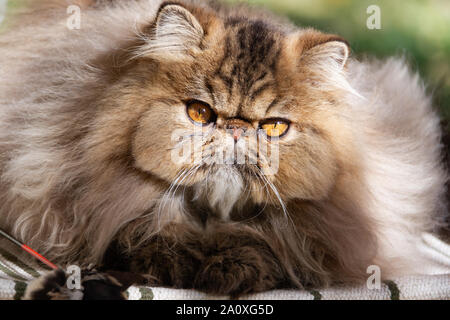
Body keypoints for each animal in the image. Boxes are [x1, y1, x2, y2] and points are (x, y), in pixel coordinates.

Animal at [0, 0, 448, 298]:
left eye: (274, 127)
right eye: (200, 112)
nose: (235, 130)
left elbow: (273, 247)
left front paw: (234, 267)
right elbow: (141, 237)